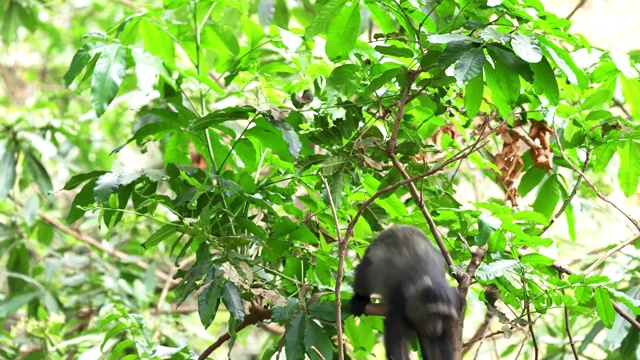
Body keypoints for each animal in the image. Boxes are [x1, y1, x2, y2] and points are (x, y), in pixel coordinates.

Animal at [350, 225, 460, 360]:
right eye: (432, 314)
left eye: (444, 316)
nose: (437, 327)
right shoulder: (399, 303)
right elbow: (397, 338)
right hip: (368, 267)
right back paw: (360, 299)